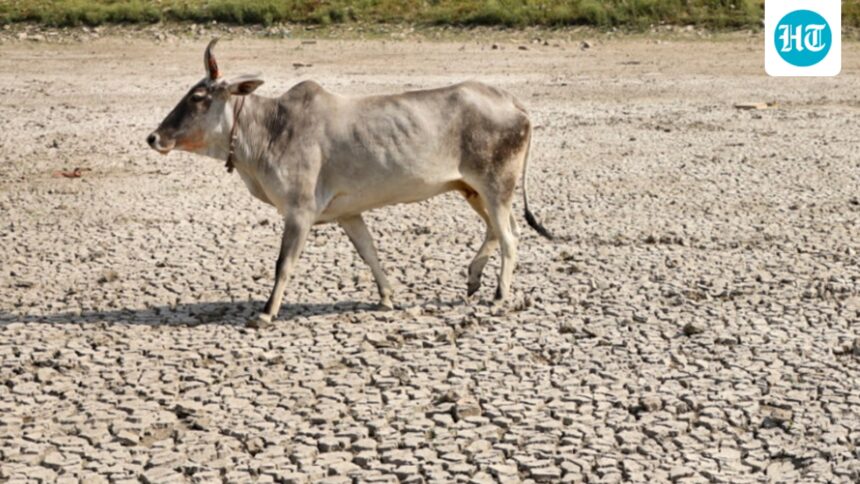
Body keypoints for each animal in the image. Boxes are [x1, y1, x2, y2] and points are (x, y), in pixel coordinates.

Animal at [147, 39, 553, 328]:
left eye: (198, 97)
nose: (154, 138)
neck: (271, 128)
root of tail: (513, 103)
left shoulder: (299, 211)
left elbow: (284, 263)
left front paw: (265, 313)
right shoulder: (348, 213)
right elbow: (369, 253)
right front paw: (387, 297)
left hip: (495, 185)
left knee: (510, 236)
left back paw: (499, 294)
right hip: (473, 189)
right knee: (500, 229)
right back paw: (473, 278)